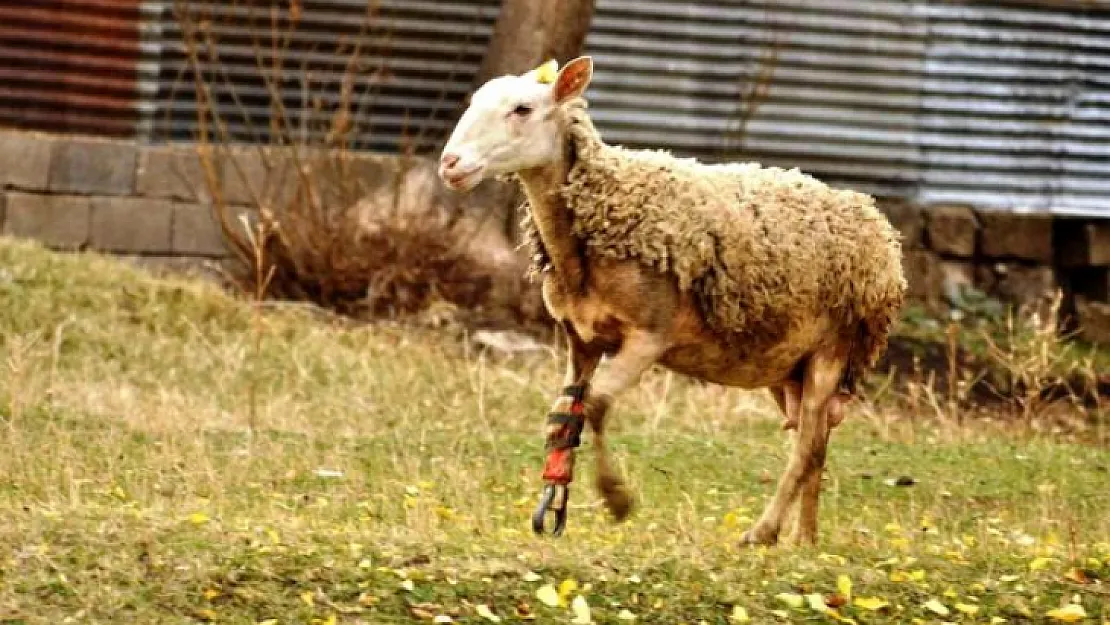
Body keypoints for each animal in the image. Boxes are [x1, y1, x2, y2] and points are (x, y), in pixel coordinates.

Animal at [437, 56, 905, 546]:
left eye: (523, 109)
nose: (450, 163)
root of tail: (876, 223)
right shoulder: (580, 339)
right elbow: (563, 418)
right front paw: (554, 501)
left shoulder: (650, 334)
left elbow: (597, 405)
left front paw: (616, 498)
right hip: (786, 363)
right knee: (814, 441)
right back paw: (804, 541)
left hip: (835, 346)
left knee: (808, 447)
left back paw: (763, 532)